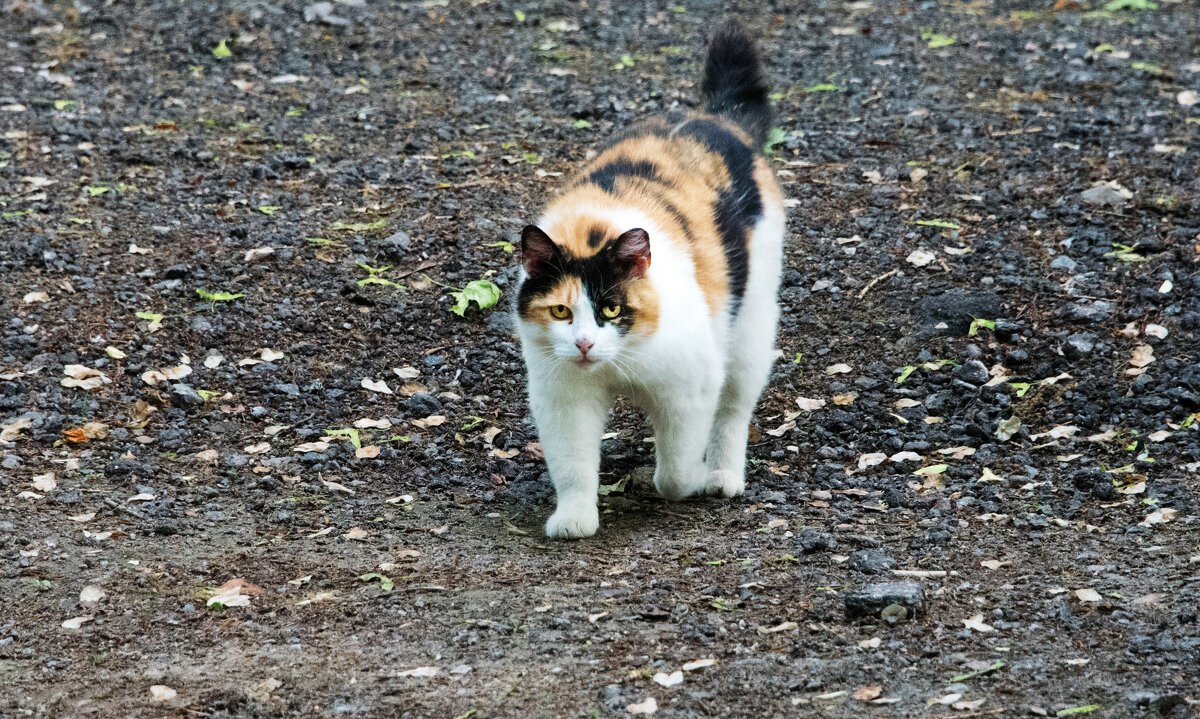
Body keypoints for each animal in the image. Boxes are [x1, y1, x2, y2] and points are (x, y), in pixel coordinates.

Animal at [511, 19, 782, 537]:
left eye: (612, 307)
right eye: (560, 310)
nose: (584, 344)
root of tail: (714, 118)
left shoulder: (691, 388)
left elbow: (674, 472)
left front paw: (692, 478)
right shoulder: (563, 398)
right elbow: (572, 465)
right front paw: (575, 517)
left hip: (749, 328)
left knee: (734, 408)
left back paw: (722, 474)